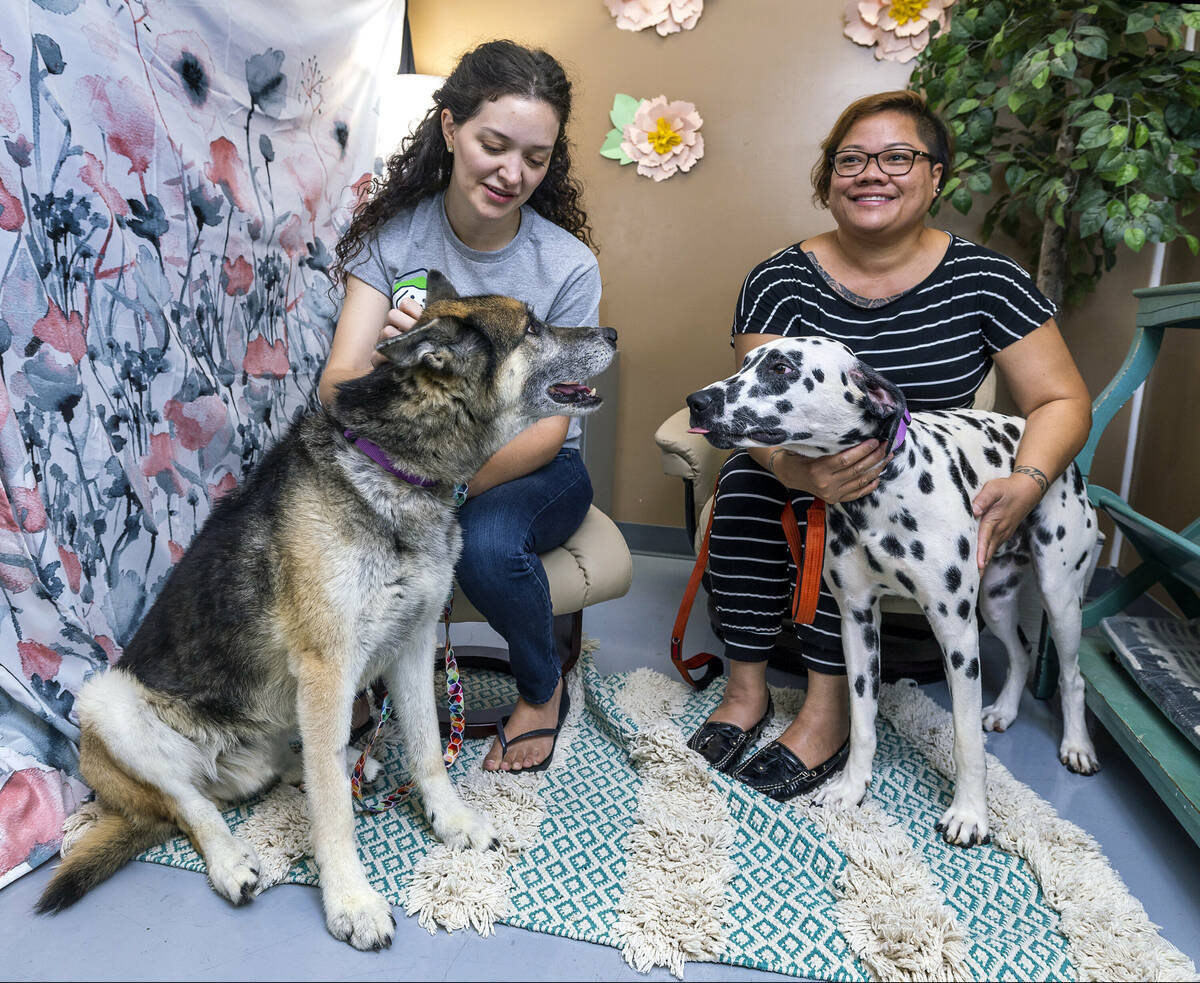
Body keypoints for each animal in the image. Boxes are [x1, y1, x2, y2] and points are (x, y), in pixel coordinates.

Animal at [37, 272, 619, 950]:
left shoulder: (415, 643)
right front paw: (350, 900)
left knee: (295, 768)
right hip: (107, 702)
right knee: (194, 807)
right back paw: (232, 860)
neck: (392, 468)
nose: (612, 332)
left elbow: (427, 748)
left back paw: (326, 767)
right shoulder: (328, 668)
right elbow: (332, 811)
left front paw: (448, 819)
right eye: (531, 328)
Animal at [691, 336, 1099, 844]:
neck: (881, 497)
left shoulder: (956, 633)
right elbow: (862, 720)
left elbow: (966, 739)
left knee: (1072, 677)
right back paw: (1004, 711)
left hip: (1059, 598)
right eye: (745, 361)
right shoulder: (858, 620)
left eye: (781, 367)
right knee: (1022, 653)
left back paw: (1077, 746)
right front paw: (851, 788)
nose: (696, 400)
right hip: (996, 600)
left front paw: (970, 814)